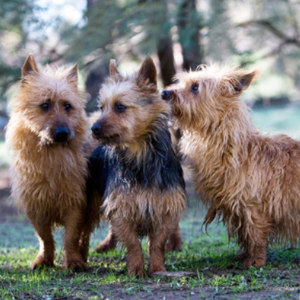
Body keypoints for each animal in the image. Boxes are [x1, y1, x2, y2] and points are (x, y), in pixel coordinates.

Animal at [5, 54, 90, 270]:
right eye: (45, 105)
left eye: (67, 106)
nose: (62, 133)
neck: (51, 156)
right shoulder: (35, 204)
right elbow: (44, 237)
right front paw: (44, 260)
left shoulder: (75, 202)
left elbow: (71, 236)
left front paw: (74, 261)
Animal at [88, 56, 186, 276]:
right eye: (102, 107)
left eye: (120, 107)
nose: (94, 128)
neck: (139, 157)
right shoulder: (120, 205)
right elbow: (132, 242)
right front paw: (135, 270)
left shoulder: (165, 204)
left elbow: (157, 243)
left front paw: (158, 268)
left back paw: (175, 242)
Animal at [162, 65, 300, 268]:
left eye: (195, 87)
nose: (163, 93)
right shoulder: (236, 205)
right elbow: (245, 233)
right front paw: (245, 255)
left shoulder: (252, 204)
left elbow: (255, 233)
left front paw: (256, 260)